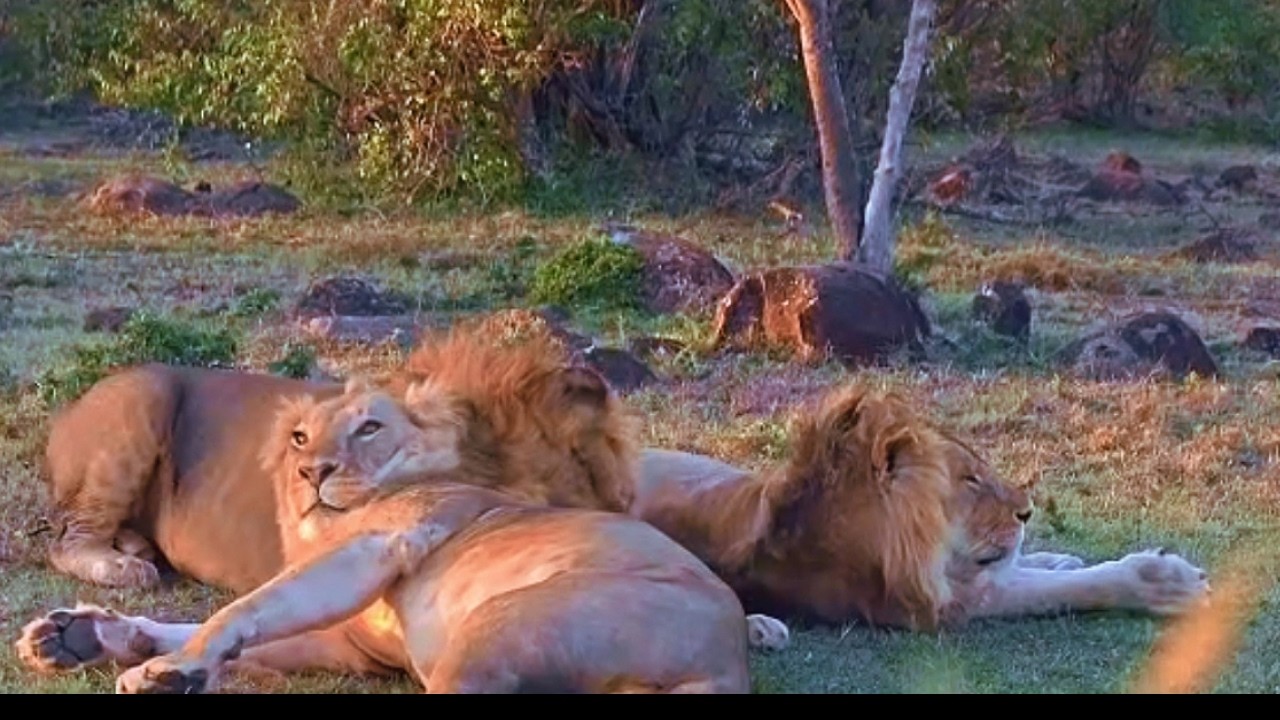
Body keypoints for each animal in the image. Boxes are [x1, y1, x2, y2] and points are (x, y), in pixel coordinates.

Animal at [17, 380, 788, 693]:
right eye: (300, 435)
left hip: (496, 628)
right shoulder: (348, 644)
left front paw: (167, 667)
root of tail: (724, 661)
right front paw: (81, 637)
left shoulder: (375, 548)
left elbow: (242, 608)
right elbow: (218, 625)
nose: (312, 472)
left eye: (369, 427)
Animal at [41, 326, 638, 594]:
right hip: (141, 400)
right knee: (67, 537)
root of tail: (67, 412)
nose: (311, 473)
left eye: (370, 428)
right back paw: (125, 566)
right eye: (299, 438)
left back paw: (138, 545)